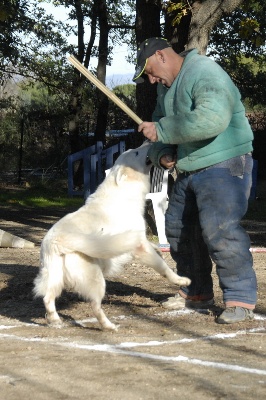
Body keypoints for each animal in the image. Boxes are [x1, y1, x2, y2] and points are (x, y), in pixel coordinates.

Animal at [33, 141, 190, 332]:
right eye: (136, 153)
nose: (148, 141)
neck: (123, 191)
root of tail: (57, 241)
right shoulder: (140, 246)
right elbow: (164, 267)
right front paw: (181, 280)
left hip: (55, 278)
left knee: (48, 299)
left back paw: (55, 320)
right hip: (96, 280)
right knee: (95, 306)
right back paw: (109, 326)